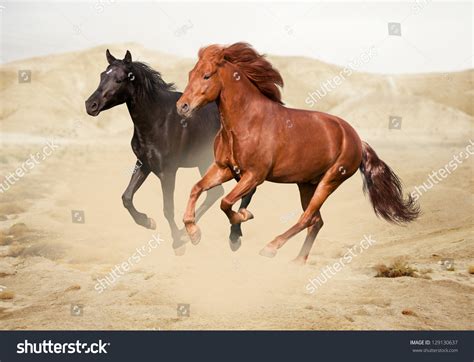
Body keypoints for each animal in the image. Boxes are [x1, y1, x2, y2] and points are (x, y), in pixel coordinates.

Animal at [86, 50, 256, 255]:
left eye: (119, 79)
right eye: (102, 75)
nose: (90, 105)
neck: (158, 121)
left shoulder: (168, 171)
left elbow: (168, 208)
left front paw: (177, 243)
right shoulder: (144, 164)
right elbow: (126, 197)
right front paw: (148, 222)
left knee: (242, 191)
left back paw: (231, 237)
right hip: (208, 164)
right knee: (221, 193)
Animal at [177, 43, 418, 264]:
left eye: (206, 75)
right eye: (190, 74)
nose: (182, 106)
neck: (246, 122)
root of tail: (357, 139)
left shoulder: (254, 175)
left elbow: (226, 202)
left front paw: (244, 216)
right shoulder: (224, 169)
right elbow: (196, 189)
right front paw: (194, 233)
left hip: (330, 180)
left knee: (307, 218)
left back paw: (271, 248)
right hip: (307, 184)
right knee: (316, 221)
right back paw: (298, 261)